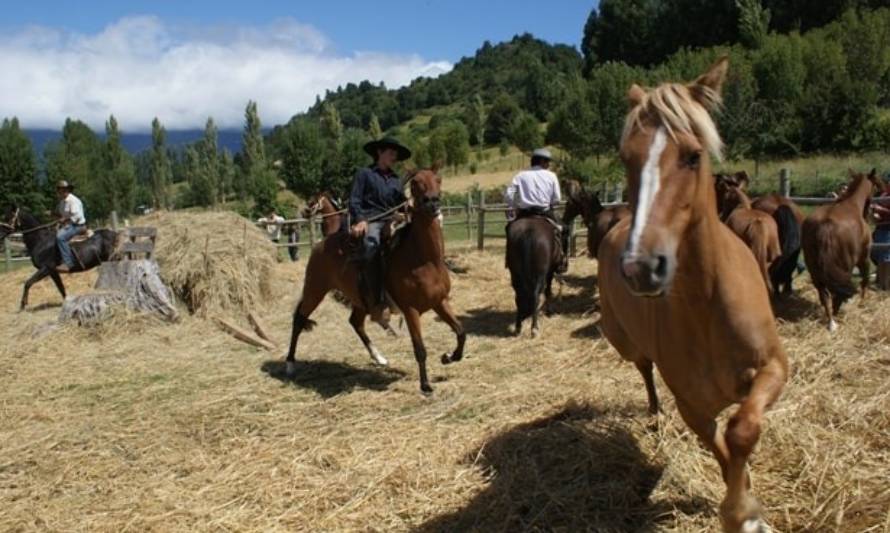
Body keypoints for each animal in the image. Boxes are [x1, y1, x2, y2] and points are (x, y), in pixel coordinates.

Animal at [284, 168, 464, 392]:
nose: (432, 203)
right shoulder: (410, 310)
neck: (424, 260)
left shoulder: (440, 302)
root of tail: (319, 245)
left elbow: (460, 331)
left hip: (360, 299)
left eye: (438, 179)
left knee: (355, 322)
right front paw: (425, 386)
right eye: (415, 182)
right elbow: (420, 348)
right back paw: (290, 364)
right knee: (299, 319)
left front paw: (449, 357)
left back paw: (379, 357)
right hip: (314, 290)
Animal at [596, 58, 784, 532]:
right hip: (627, 343)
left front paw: (746, 508)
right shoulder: (692, 406)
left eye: (692, 156)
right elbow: (723, 448)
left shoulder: (774, 368)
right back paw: (653, 412)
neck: (708, 307)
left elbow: (741, 431)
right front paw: (742, 511)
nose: (641, 267)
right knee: (644, 369)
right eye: (626, 158)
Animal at [800, 168, 876, 330]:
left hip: (814, 270)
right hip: (846, 266)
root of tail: (825, 226)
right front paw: (862, 302)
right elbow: (865, 280)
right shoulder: (864, 258)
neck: (852, 204)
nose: (871, 211)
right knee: (838, 294)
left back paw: (831, 321)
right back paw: (834, 317)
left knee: (824, 294)